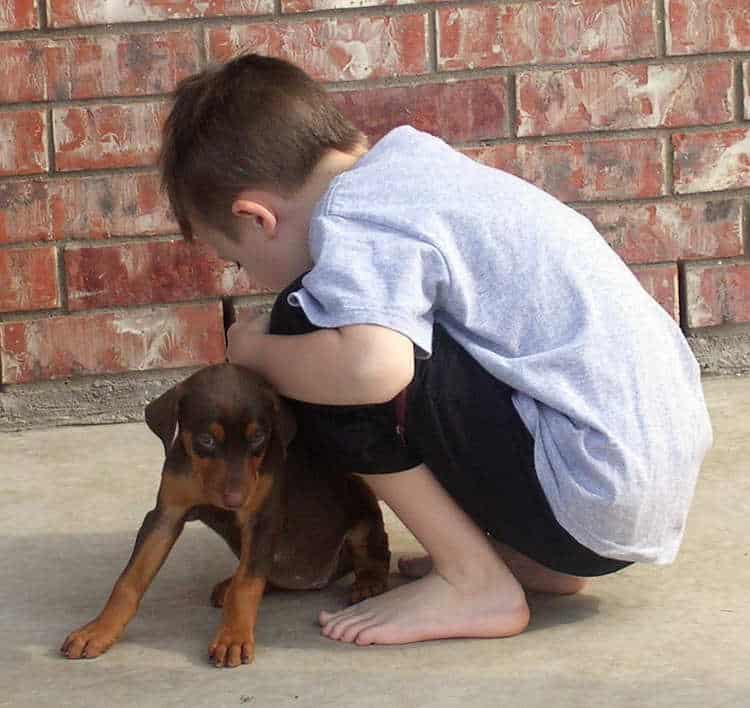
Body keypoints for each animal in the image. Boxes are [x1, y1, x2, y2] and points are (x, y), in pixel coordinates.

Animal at [61, 366, 390, 668]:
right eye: (206, 439)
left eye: (258, 437)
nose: (235, 501)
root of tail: (317, 579)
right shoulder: (165, 515)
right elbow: (129, 580)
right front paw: (97, 631)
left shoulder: (261, 520)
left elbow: (246, 585)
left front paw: (233, 638)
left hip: (362, 520)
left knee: (373, 554)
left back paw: (369, 583)